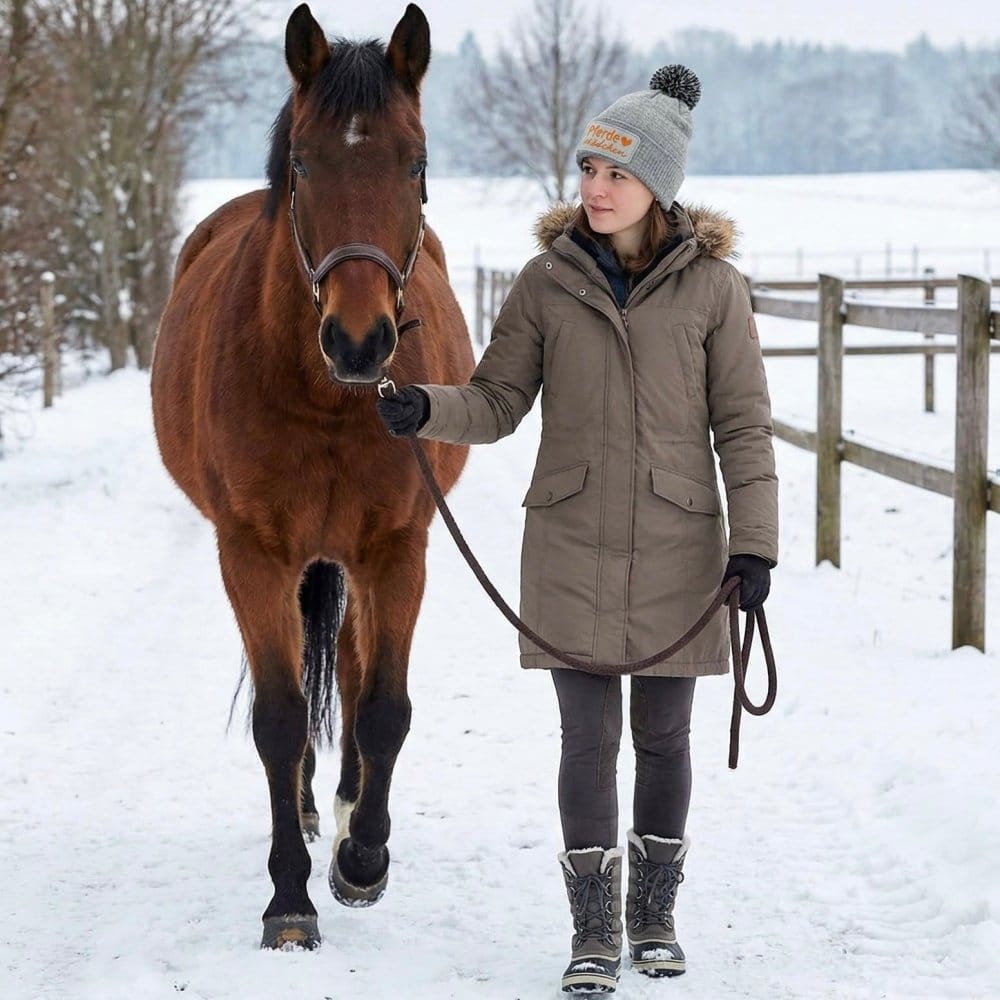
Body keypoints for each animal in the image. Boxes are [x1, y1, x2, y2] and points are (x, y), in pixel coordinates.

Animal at [151, 2, 473, 950]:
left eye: (416, 162)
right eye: (302, 162)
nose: (360, 341)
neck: (329, 401)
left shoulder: (399, 550)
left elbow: (384, 707)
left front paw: (361, 861)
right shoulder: (253, 555)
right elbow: (280, 715)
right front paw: (289, 900)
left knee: (359, 678)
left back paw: (346, 809)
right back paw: (300, 810)